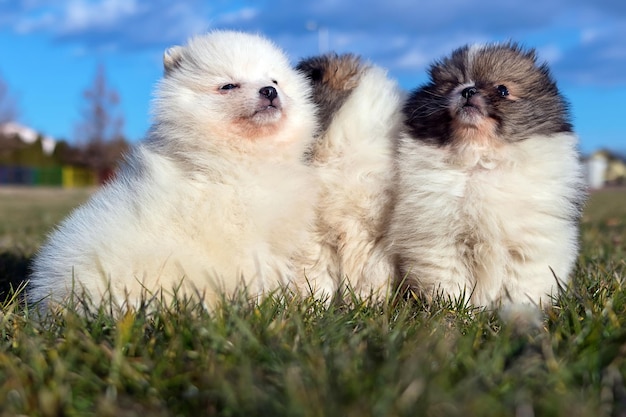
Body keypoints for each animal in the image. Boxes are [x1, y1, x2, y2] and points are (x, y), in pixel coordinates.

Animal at [26, 30, 316, 310]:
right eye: (228, 85)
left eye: (275, 80)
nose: (269, 91)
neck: (240, 158)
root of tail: (56, 300)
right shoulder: (244, 237)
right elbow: (259, 272)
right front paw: (270, 305)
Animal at [294, 53, 402, 300]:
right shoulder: (316, 234)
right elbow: (316, 275)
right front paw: (312, 304)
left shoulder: (374, 235)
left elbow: (370, 274)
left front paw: (365, 304)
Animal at [386, 44, 584, 308]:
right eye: (452, 84)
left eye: (502, 90)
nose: (468, 90)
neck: (479, 159)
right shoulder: (440, 240)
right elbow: (449, 280)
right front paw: (456, 309)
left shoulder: (530, 243)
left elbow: (522, 284)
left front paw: (519, 310)